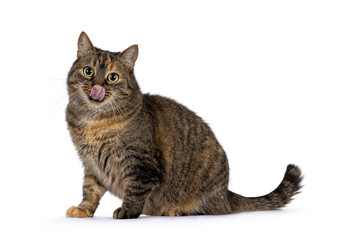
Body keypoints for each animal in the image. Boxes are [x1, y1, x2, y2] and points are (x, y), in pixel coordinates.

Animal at [65, 31, 302, 219]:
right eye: (88, 71)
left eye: (113, 77)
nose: (96, 86)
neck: (93, 121)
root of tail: (226, 194)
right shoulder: (91, 165)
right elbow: (90, 190)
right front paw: (83, 209)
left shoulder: (140, 165)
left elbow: (135, 190)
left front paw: (128, 210)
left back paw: (176, 209)